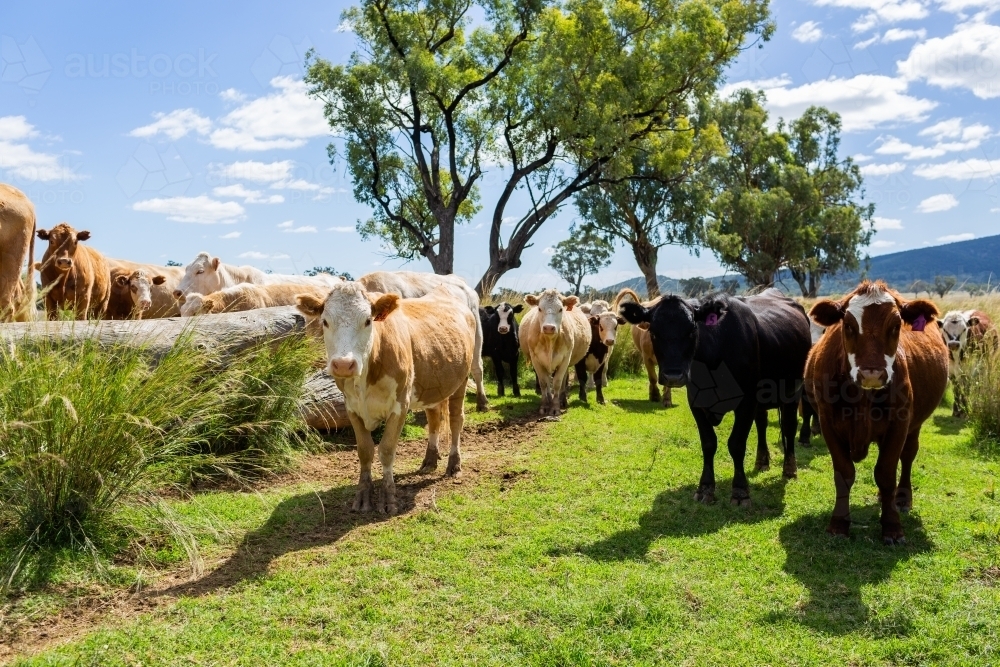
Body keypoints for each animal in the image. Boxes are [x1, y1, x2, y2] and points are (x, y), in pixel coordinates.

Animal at [295, 282, 475, 515]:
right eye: (325, 321)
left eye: (367, 320)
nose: (343, 365)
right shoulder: (351, 407)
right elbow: (365, 451)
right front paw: (363, 496)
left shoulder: (400, 405)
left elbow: (387, 450)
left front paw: (388, 497)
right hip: (433, 384)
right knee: (434, 419)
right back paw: (429, 460)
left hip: (462, 379)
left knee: (455, 421)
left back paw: (454, 464)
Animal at [621, 288, 812, 505]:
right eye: (653, 332)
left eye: (692, 331)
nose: (673, 376)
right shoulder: (696, 402)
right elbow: (708, 444)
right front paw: (705, 488)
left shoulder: (746, 402)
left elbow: (736, 444)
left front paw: (740, 491)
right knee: (762, 424)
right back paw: (762, 461)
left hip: (793, 391)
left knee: (789, 427)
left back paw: (790, 469)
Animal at [805, 280, 948, 545]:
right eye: (848, 326)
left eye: (895, 325)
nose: (871, 374)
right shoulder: (828, 424)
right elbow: (844, 473)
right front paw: (839, 524)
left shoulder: (899, 425)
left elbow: (886, 474)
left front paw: (892, 526)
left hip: (914, 425)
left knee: (908, 455)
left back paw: (900, 499)